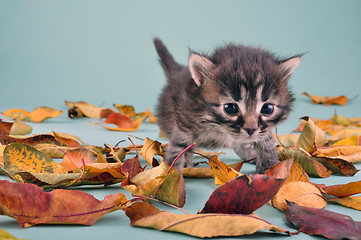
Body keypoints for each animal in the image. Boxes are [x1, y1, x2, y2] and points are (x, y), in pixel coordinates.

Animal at [153, 37, 300, 172]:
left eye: (267, 108)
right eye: (230, 108)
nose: (251, 129)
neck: (217, 128)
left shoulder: (263, 130)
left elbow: (267, 142)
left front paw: (272, 169)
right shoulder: (184, 123)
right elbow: (177, 149)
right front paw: (171, 176)